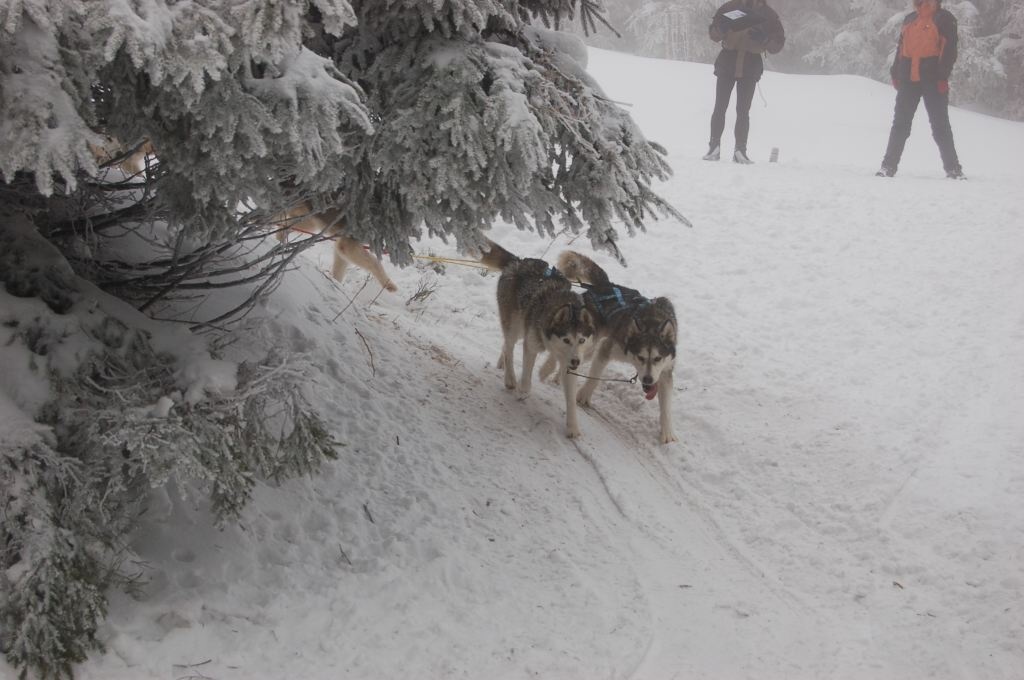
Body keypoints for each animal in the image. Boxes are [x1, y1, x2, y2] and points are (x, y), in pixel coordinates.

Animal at [480, 239, 595, 439]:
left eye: (581, 340)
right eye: (566, 340)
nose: (576, 362)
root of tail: (518, 262)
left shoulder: (567, 364)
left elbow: (570, 399)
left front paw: (572, 427)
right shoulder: (531, 344)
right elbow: (527, 377)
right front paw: (523, 390)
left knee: (505, 346)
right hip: (516, 326)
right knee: (509, 347)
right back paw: (510, 379)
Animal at [553, 250, 678, 444]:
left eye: (657, 358)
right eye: (641, 357)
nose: (648, 380)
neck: (652, 323)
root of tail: (606, 285)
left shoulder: (665, 371)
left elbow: (666, 406)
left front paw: (667, 432)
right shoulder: (606, 349)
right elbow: (594, 378)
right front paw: (583, 396)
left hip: (586, 348)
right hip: (589, 343)